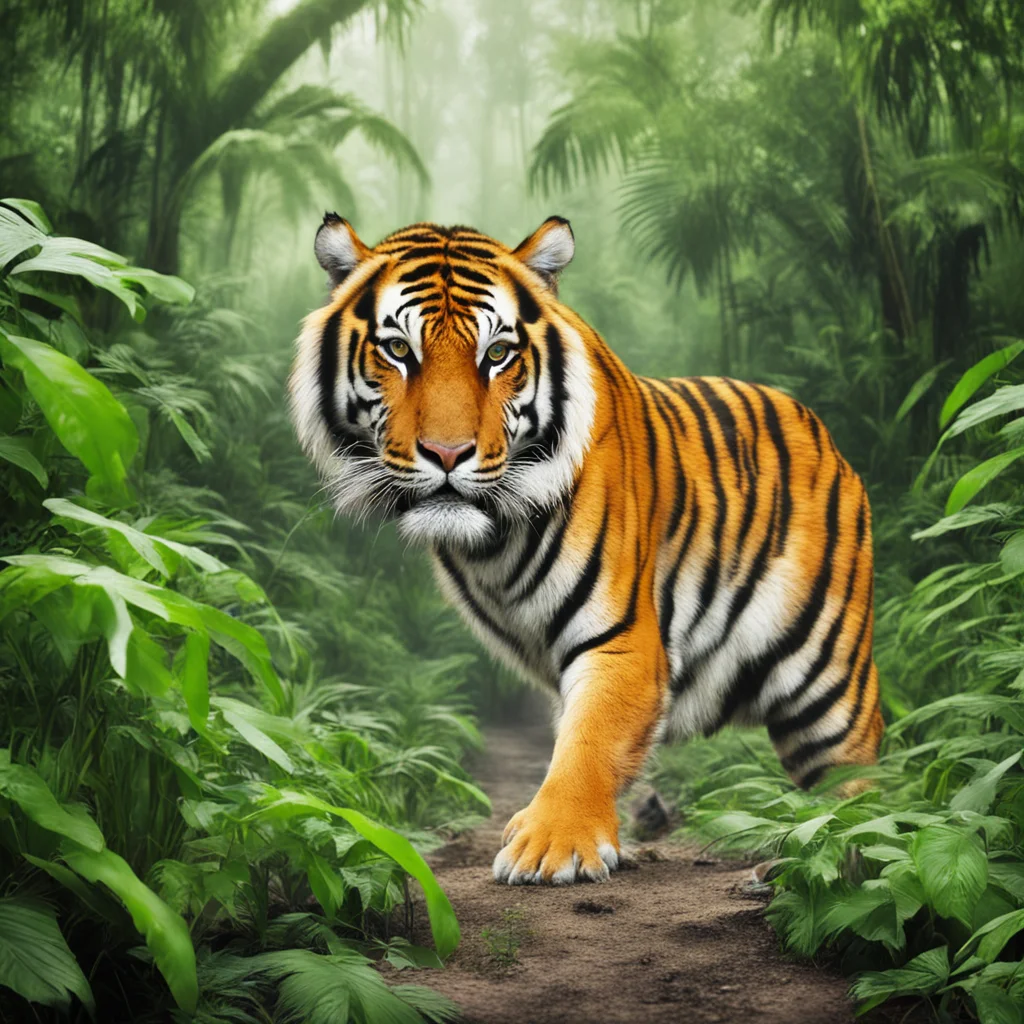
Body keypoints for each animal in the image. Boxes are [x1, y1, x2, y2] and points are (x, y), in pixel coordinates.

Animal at [289, 213, 884, 886]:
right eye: (398, 350)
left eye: (498, 354)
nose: (447, 453)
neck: (493, 541)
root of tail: (820, 428)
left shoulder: (622, 638)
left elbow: (590, 742)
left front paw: (553, 845)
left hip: (827, 679)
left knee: (864, 784)